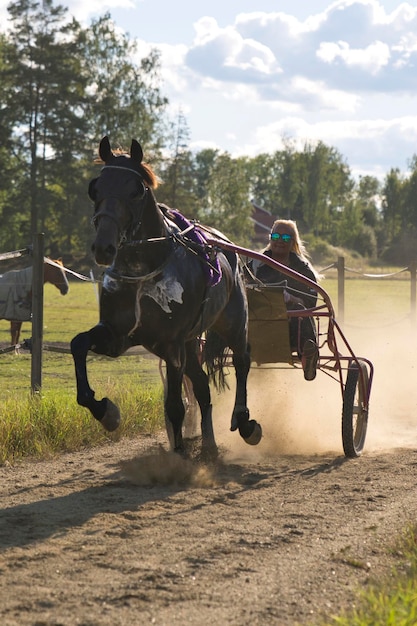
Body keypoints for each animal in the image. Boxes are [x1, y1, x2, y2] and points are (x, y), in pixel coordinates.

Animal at [70, 136, 260, 456]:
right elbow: (78, 344)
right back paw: (209, 445)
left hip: (233, 320)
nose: (104, 248)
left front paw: (179, 455)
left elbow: (174, 406)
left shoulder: (171, 344)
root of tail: (225, 243)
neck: (144, 268)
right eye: (95, 187)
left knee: (242, 361)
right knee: (201, 386)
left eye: (135, 190)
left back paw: (244, 422)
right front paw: (106, 412)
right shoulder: (118, 336)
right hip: (191, 341)